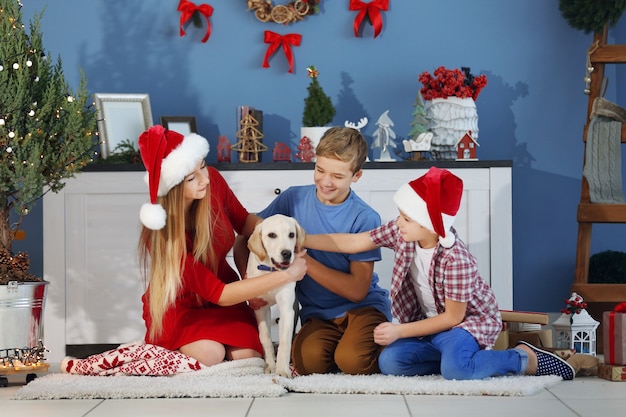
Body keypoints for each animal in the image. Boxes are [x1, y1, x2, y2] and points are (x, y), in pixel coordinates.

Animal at [246, 214, 304, 376]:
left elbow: (285, 340)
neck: (271, 271)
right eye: (272, 235)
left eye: (292, 234)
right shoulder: (260, 307)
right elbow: (265, 337)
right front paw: (270, 365)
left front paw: (282, 370)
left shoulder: (286, 308)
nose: (287, 253)